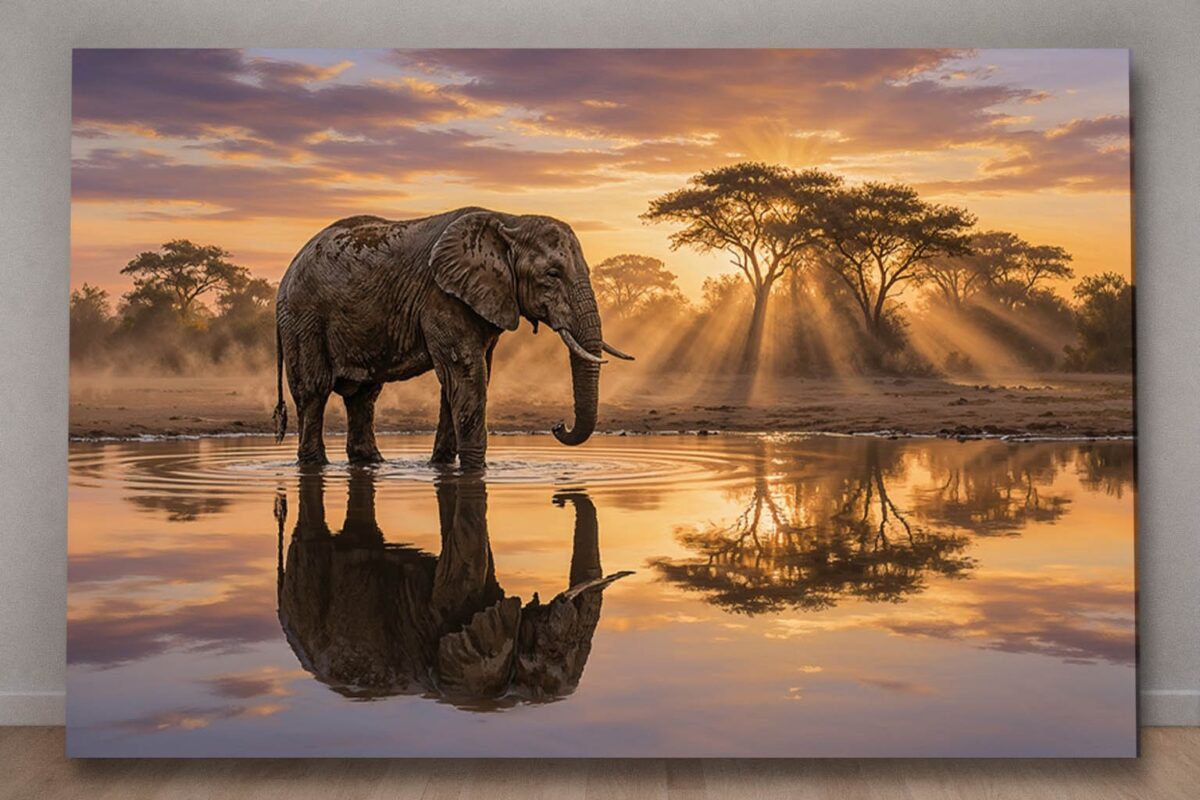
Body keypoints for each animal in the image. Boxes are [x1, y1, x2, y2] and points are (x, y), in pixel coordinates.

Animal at [272, 208, 633, 467]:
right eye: (552, 274)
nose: (557, 426)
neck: (509, 221)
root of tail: (288, 270)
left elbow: (460, 381)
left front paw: (442, 467)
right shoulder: (443, 297)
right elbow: (466, 375)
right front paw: (475, 470)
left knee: (363, 396)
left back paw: (371, 463)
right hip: (303, 319)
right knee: (314, 391)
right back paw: (315, 465)